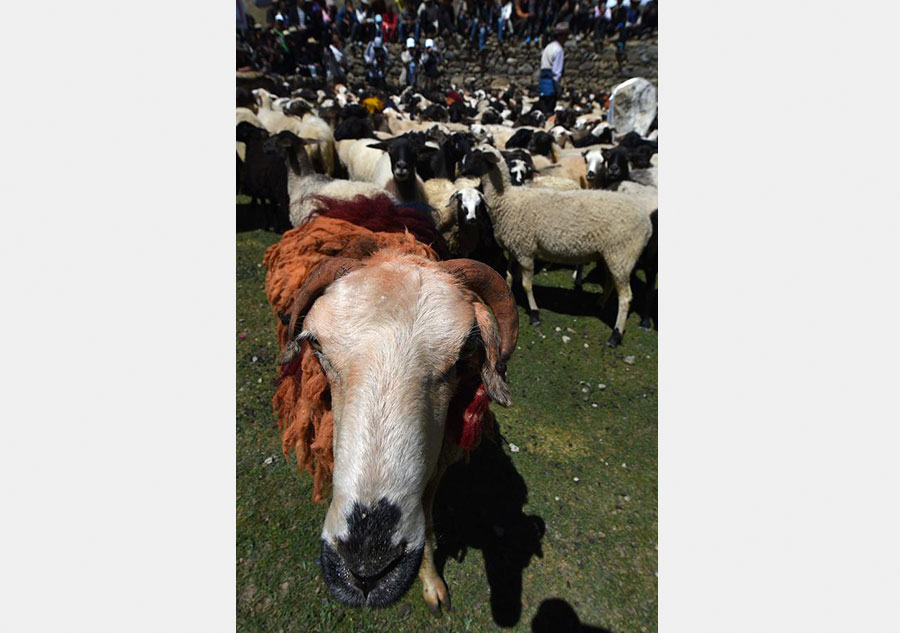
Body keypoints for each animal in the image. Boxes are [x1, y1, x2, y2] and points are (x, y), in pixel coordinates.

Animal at [460, 145, 652, 346]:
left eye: (478, 155)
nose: (461, 169)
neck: (506, 199)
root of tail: (647, 223)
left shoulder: (525, 250)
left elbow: (527, 284)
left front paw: (535, 314)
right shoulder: (514, 248)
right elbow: (509, 277)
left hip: (622, 253)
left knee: (626, 298)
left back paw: (615, 335)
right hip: (611, 255)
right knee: (610, 282)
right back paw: (599, 305)